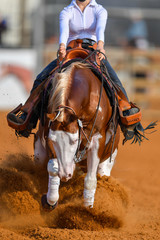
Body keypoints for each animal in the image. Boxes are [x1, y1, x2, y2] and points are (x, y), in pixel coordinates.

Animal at [34, 62, 119, 210]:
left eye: (74, 140)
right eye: (53, 141)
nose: (65, 174)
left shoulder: (97, 139)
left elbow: (90, 179)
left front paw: (87, 208)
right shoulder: (46, 133)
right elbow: (53, 168)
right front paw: (50, 200)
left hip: (109, 157)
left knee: (102, 172)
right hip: (39, 154)